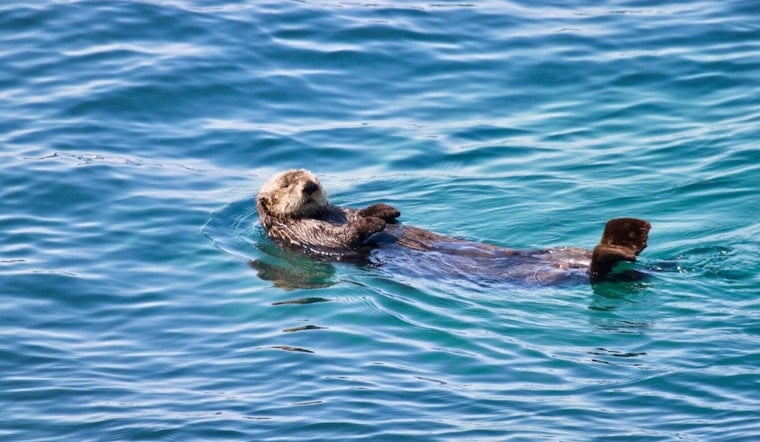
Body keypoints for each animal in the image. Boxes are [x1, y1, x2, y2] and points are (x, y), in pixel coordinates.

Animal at [256, 169, 651, 284]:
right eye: (287, 184)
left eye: (314, 177)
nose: (310, 186)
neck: (324, 215)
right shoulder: (307, 236)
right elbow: (349, 237)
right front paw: (376, 219)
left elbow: (357, 214)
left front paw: (386, 210)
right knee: (598, 272)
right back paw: (624, 242)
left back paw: (631, 237)